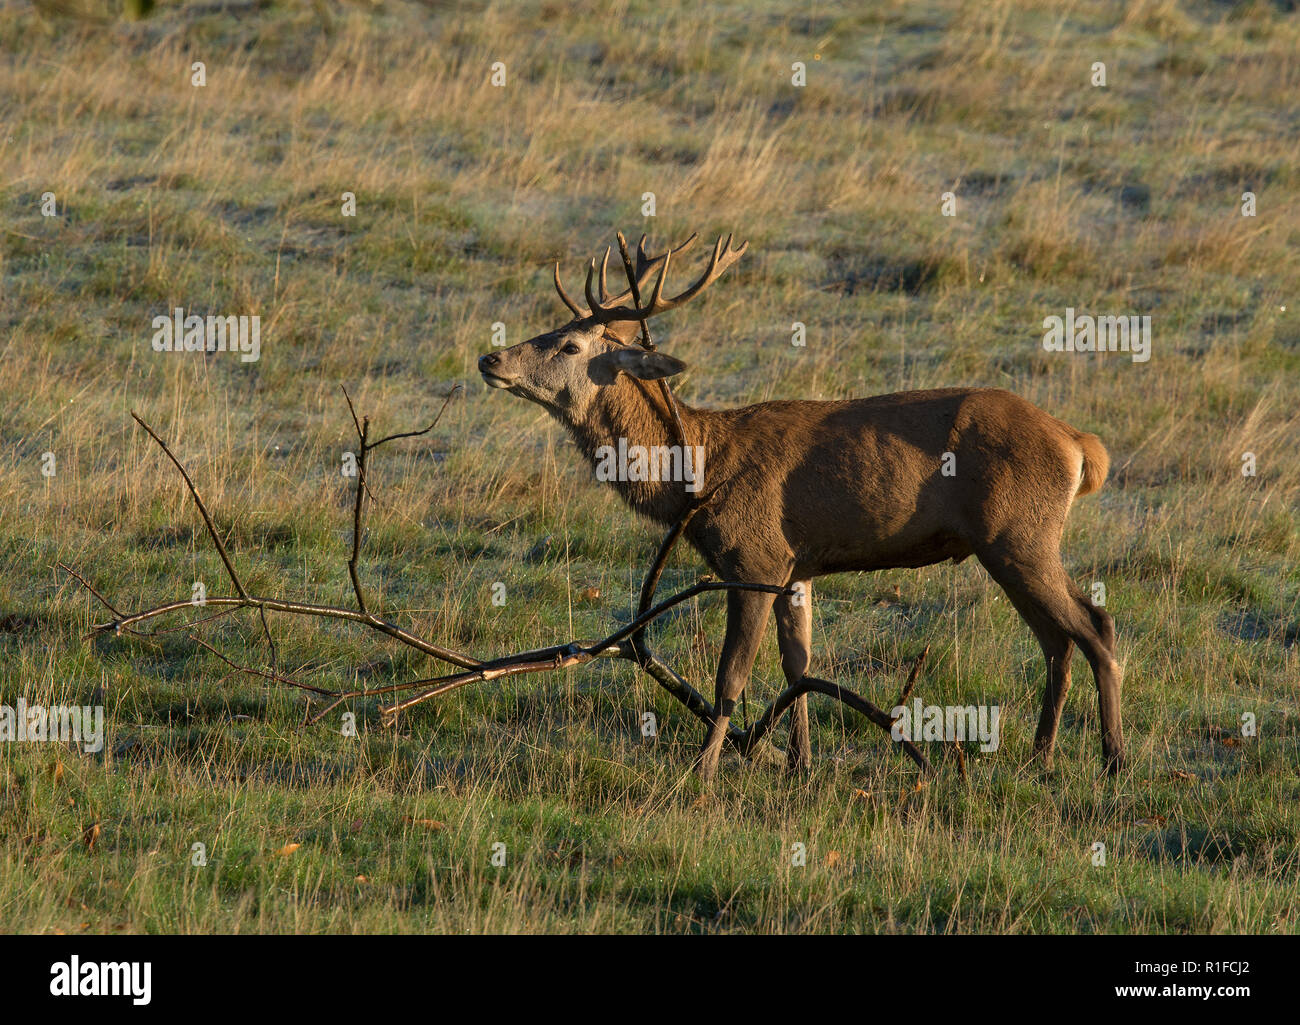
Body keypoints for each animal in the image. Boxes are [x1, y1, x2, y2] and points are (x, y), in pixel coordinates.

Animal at [477, 231, 1124, 783]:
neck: (699, 472)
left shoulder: (754, 555)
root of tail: (1079, 444)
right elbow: (799, 666)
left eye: (569, 344)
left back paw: (1113, 759)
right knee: (1057, 640)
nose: (490, 360)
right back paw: (1040, 757)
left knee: (1095, 624)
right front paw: (800, 764)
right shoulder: (795, 567)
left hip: (1020, 532)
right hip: (1013, 542)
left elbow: (731, 675)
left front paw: (703, 773)